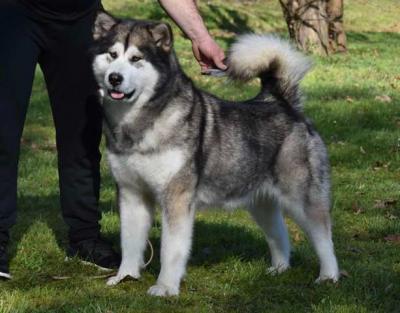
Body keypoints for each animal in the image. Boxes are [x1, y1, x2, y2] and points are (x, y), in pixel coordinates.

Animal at [91, 11, 340, 296]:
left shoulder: (177, 198)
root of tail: (280, 102)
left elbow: (170, 249)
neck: (137, 124)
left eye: (136, 58)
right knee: (279, 233)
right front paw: (126, 276)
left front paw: (165, 287)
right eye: (112, 55)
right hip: (260, 201)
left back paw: (329, 275)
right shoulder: (131, 193)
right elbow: (130, 242)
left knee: (324, 237)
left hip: (302, 197)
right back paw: (279, 268)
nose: (114, 78)